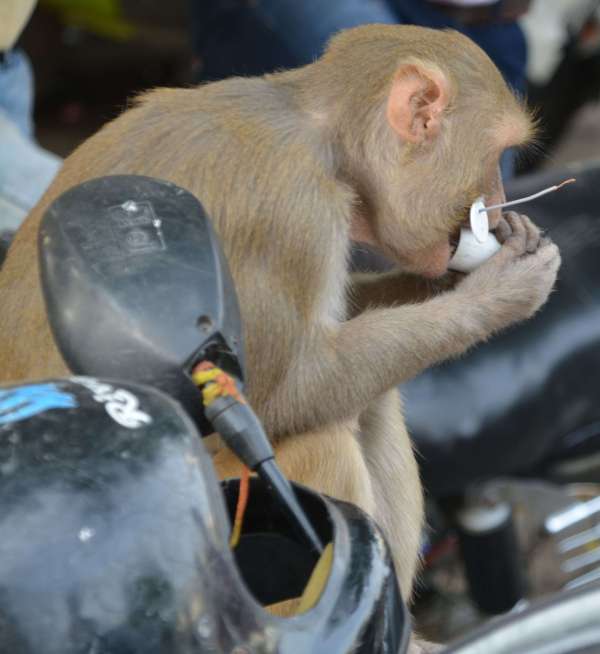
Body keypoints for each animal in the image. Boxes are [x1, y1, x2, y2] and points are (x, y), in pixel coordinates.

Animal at [0, 24, 559, 633]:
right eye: (496, 155)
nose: (499, 203)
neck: (317, 134)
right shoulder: (294, 215)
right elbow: (291, 391)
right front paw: (500, 291)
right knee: (324, 436)